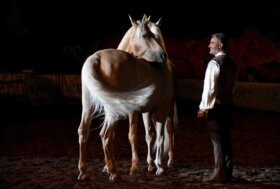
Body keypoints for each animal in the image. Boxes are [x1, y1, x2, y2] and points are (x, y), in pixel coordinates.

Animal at [117, 15, 178, 176]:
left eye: (156, 36)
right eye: (145, 35)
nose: (163, 56)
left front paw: (134, 166)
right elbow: (135, 135)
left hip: (167, 108)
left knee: (168, 130)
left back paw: (169, 161)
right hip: (150, 112)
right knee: (152, 134)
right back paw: (152, 163)